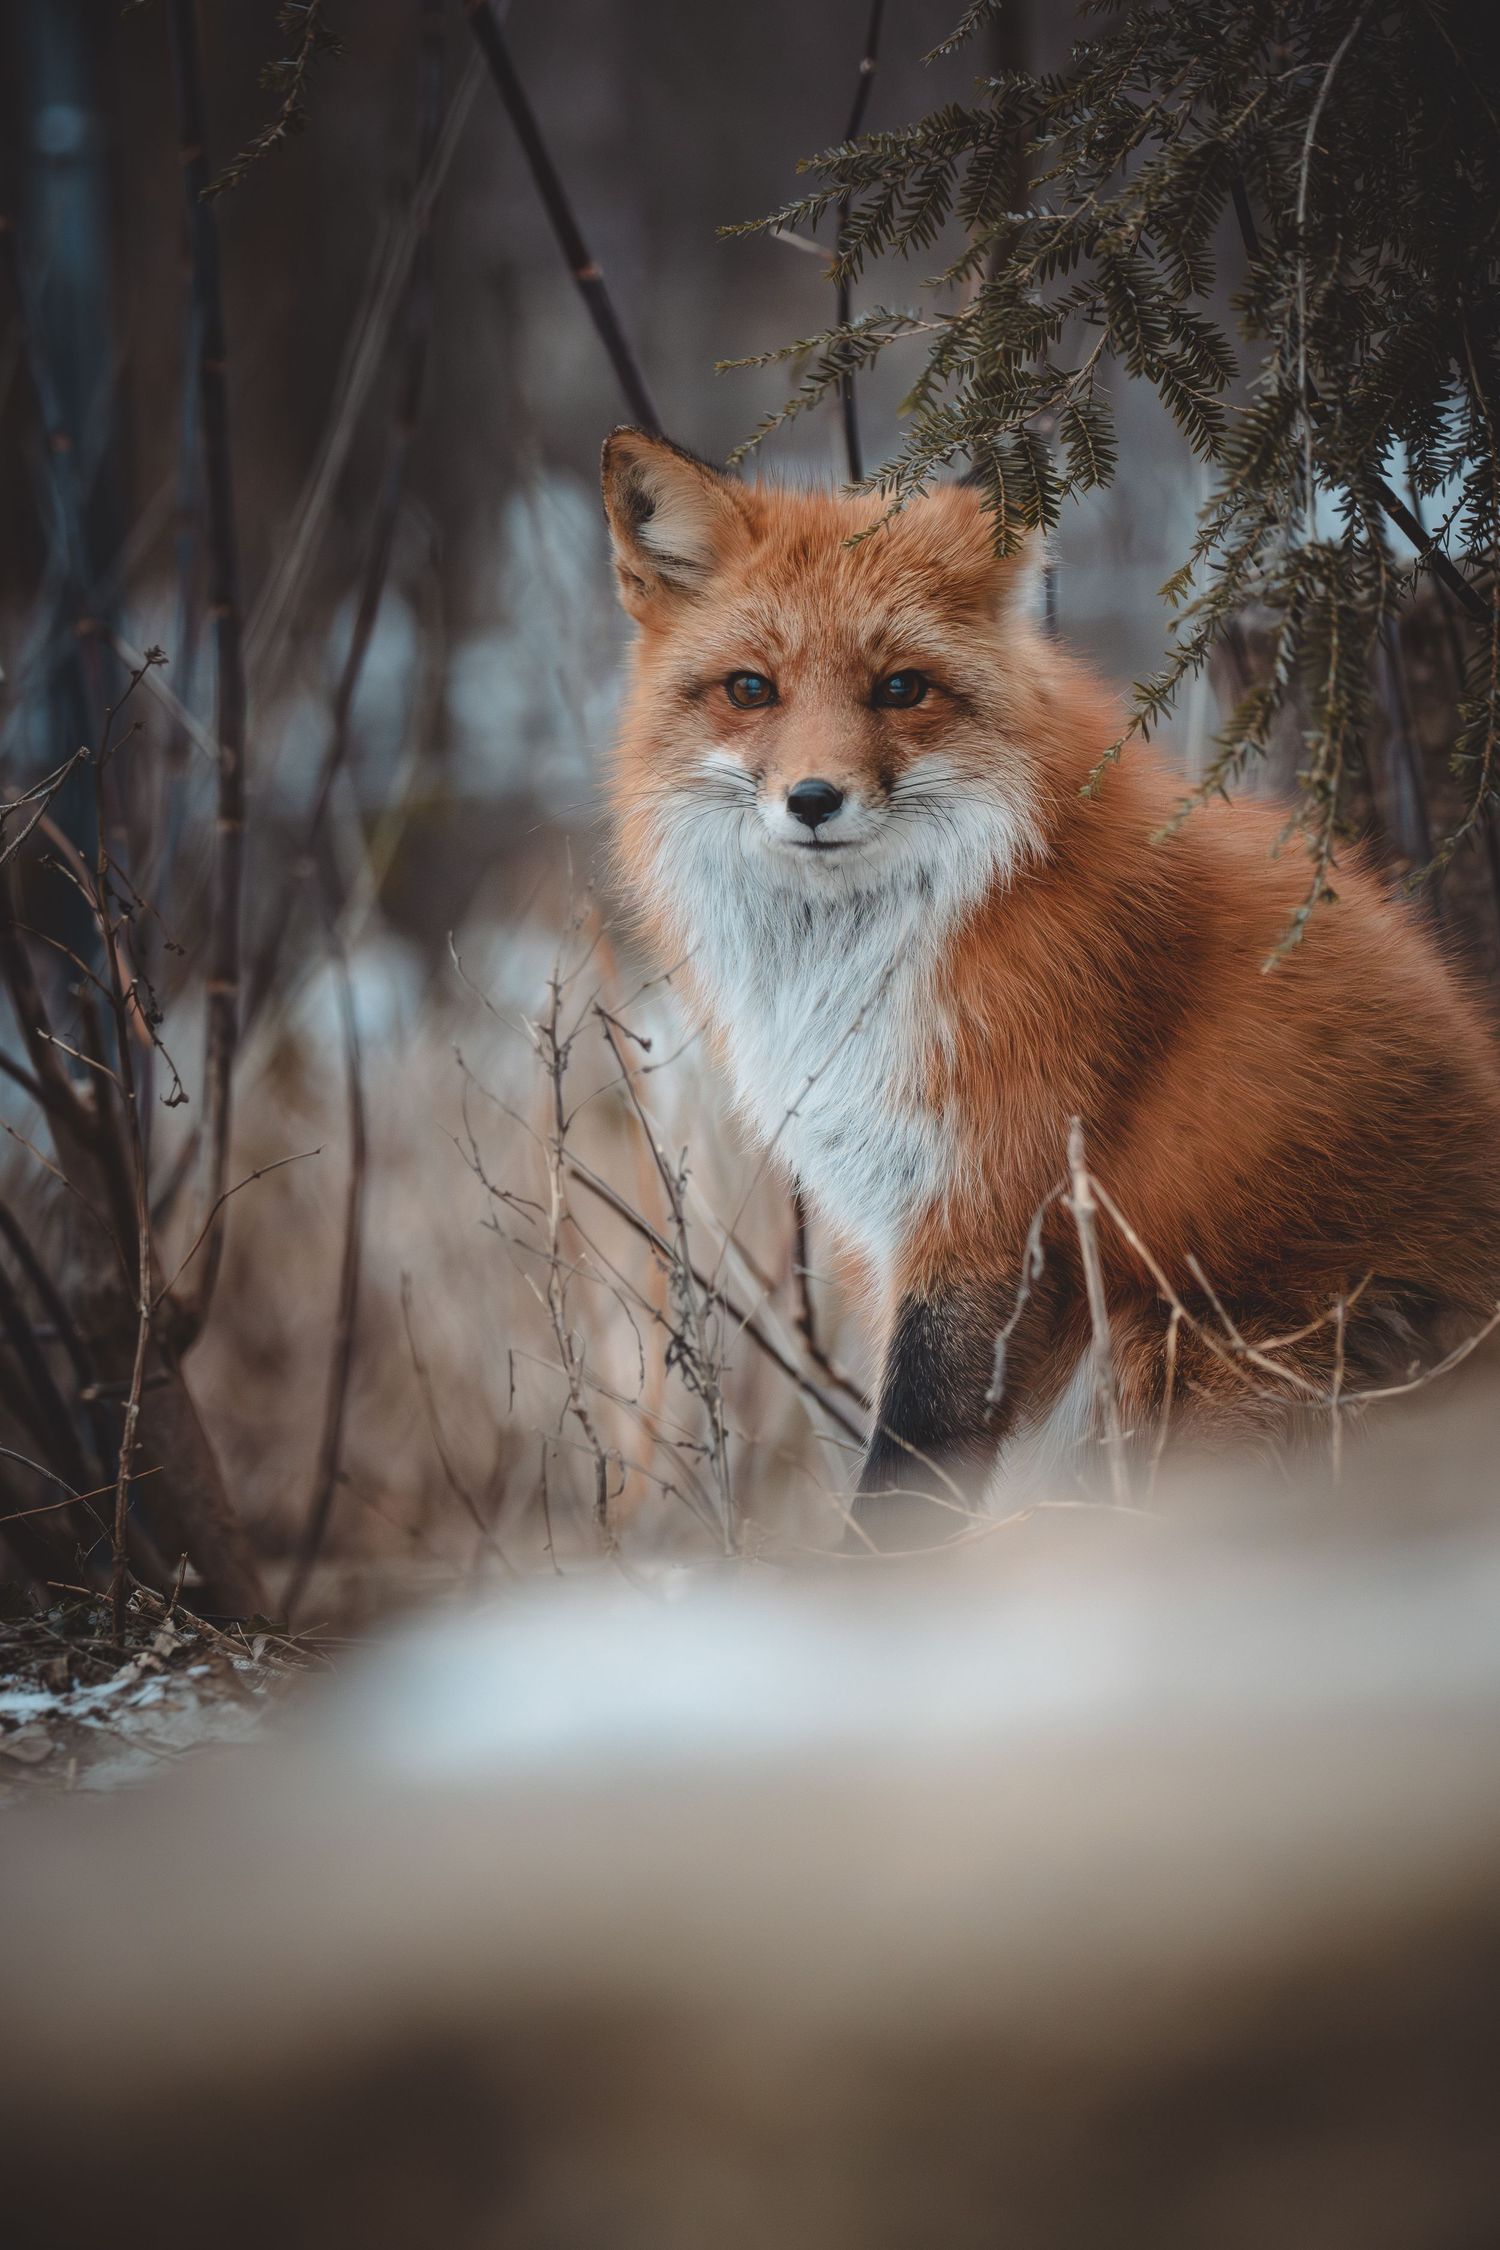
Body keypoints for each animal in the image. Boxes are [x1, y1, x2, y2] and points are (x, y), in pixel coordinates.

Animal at [601, 426, 1500, 1527]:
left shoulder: (988, 1214)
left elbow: (904, 1481)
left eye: (900, 688)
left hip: (1181, 1352)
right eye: (750, 688)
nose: (813, 799)